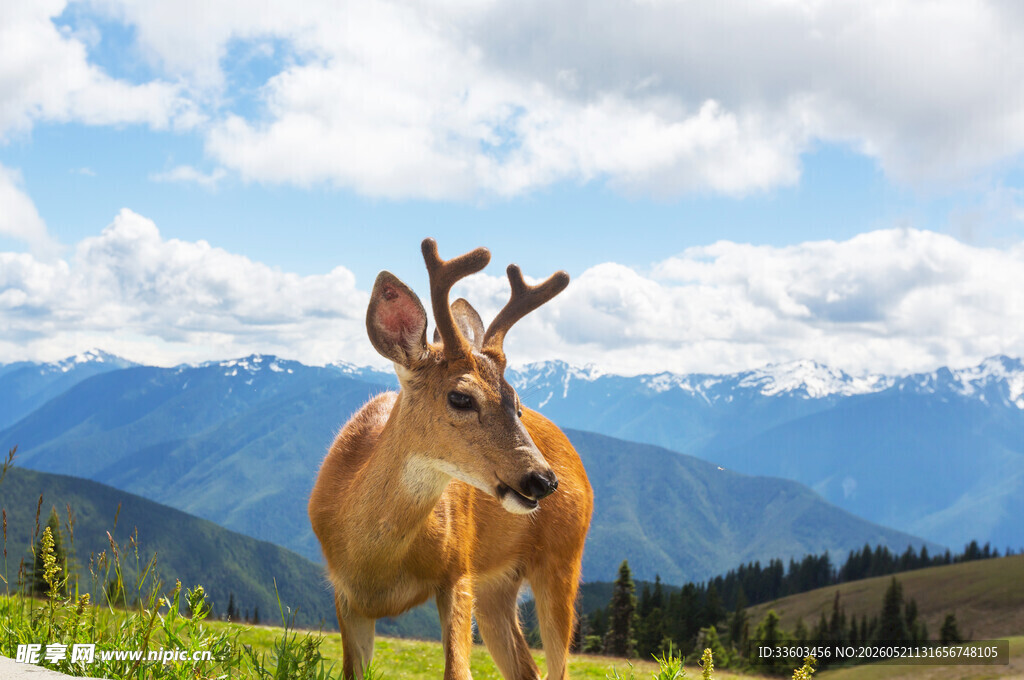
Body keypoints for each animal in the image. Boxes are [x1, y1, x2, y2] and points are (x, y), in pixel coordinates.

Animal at [308, 239, 593, 680]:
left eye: (517, 404)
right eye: (460, 397)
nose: (544, 480)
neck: (375, 561)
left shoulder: (458, 570)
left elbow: (457, 671)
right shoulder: (345, 595)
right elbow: (352, 671)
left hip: (564, 559)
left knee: (556, 668)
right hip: (497, 587)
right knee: (524, 667)